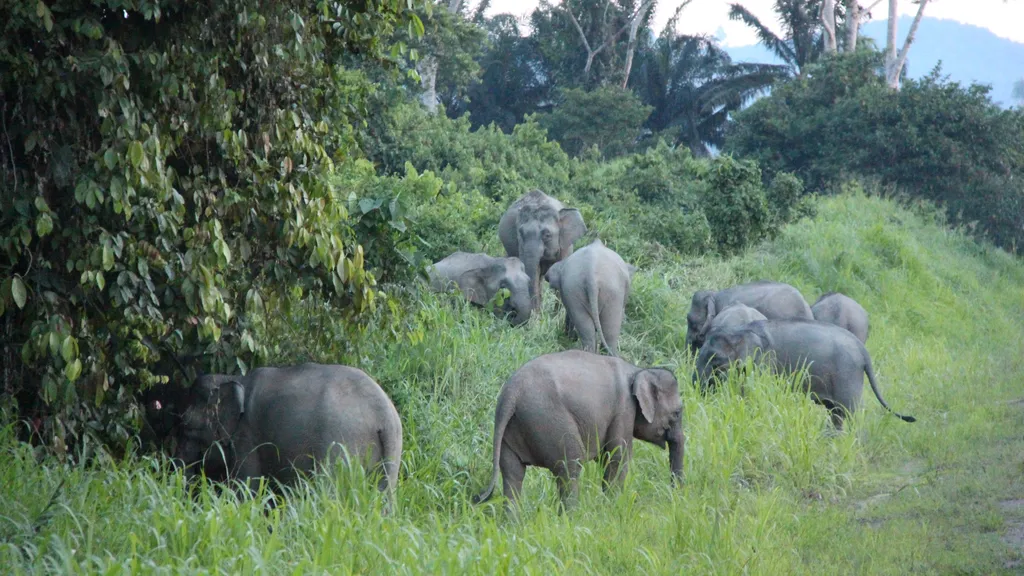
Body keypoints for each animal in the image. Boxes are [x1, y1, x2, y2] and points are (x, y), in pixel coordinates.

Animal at [174, 362, 401, 502]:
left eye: (186, 425)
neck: (233, 379)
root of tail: (384, 417)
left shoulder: (247, 437)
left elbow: (246, 487)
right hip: (392, 455)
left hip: (340, 442)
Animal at [473, 348, 684, 508]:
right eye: (677, 413)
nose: (674, 497)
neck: (638, 370)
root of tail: (512, 392)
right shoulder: (624, 409)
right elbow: (617, 456)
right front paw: (612, 508)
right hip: (552, 422)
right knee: (569, 468)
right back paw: (571, 518)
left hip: (511, 428)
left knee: (512, 473)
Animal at [692, 317, 917, 426]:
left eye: (715, 359)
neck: (740, 329)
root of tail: (863, 351)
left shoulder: (766, 362)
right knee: (836, 413)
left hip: (847, 374)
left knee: (849, 411)